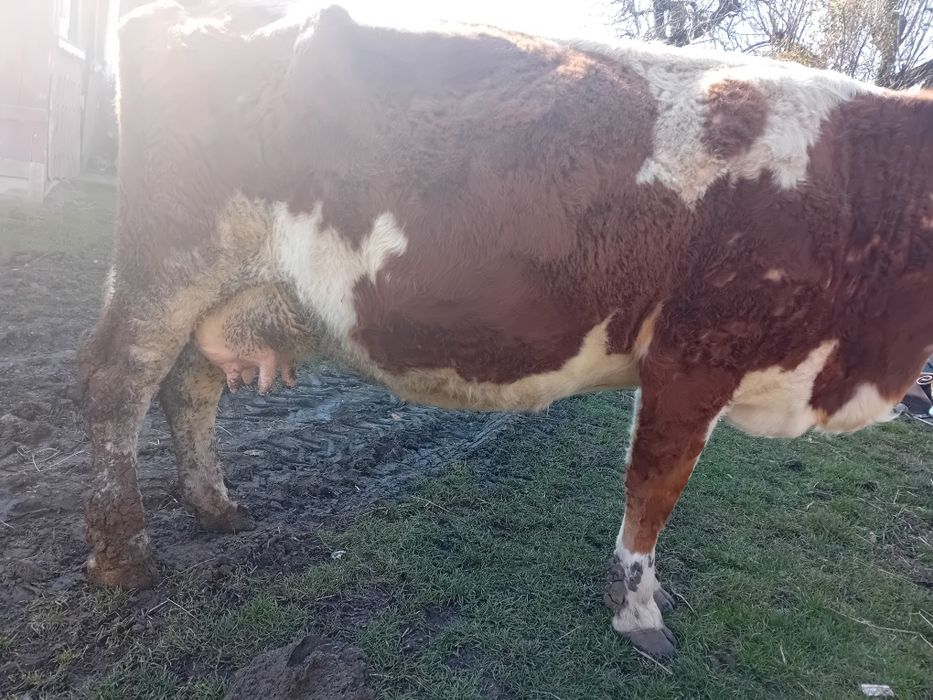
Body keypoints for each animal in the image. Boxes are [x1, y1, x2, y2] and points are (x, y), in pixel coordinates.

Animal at [78, 1, 933, 659]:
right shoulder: (694, 356)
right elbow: (653, 489)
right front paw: (636, 611)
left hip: (226, 285)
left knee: (189, 384)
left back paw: (213, 507)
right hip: (169, 260)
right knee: (117, 382)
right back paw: (123, 555)